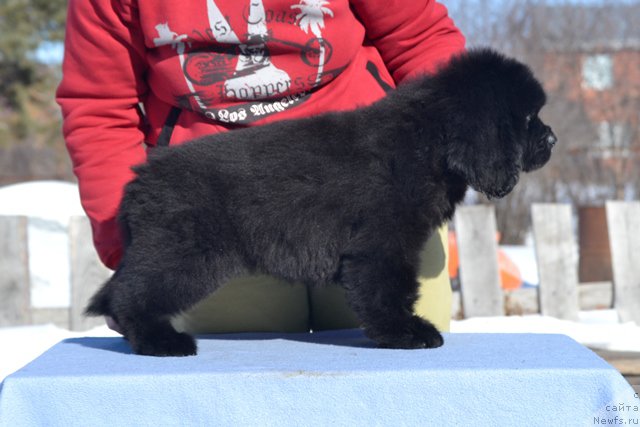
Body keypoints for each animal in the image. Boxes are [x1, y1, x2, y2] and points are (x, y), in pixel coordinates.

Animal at [85, 48, 556, 356]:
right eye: (527, 118)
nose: (552, 139)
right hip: (181, 254)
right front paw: (405, 333)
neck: (428, 141)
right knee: (130, 295)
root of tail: (139, 181)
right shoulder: (382, 244)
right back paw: (161, 341)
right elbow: (388, 291)